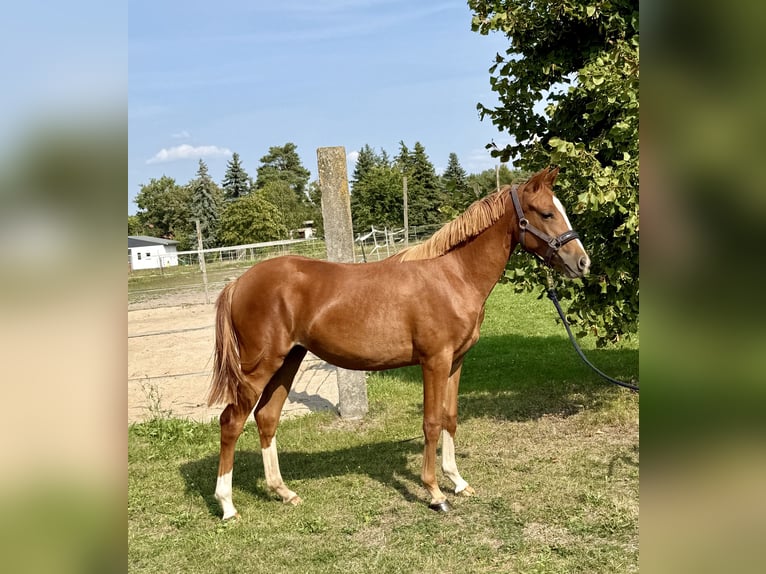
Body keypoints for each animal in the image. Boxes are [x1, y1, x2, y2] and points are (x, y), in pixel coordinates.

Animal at [207, 167, 590, 519]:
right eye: (546, 212)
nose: (582, 262)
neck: (453, 275)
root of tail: (238, 283)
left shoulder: (456, 361)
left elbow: (450, 417)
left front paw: (458, 481)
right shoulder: (434, 361)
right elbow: (431, 422)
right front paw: (435, 493)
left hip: (289, 360)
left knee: (267, 417)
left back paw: (283, 492)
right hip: (260, 367)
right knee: (231, 421)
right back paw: (227, 505)